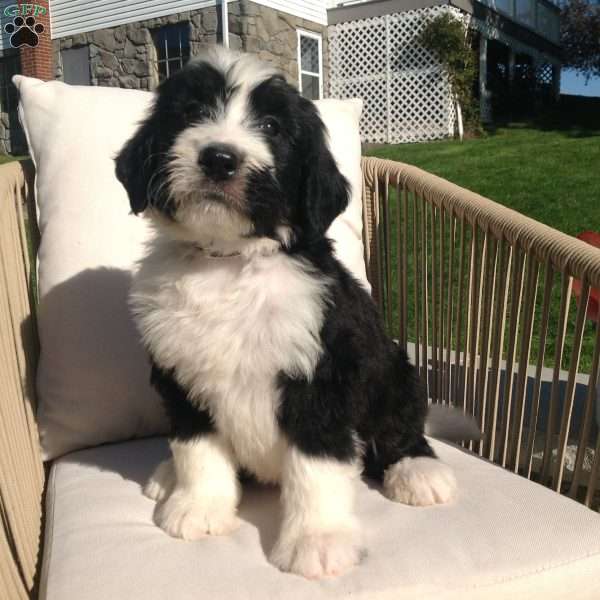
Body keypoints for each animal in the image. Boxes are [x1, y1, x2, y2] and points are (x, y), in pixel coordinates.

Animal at [116, 48, 454, 580]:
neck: (228, 262)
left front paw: (317, 541)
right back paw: (168, 476)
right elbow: (197, 447)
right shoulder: (181, 373)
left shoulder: (321, 375)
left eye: (272, 126)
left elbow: (316, 467)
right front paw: (198, 507)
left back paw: (418, 471)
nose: (219, 158)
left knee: (401, 426)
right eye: (192, 112)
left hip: (394, 369)